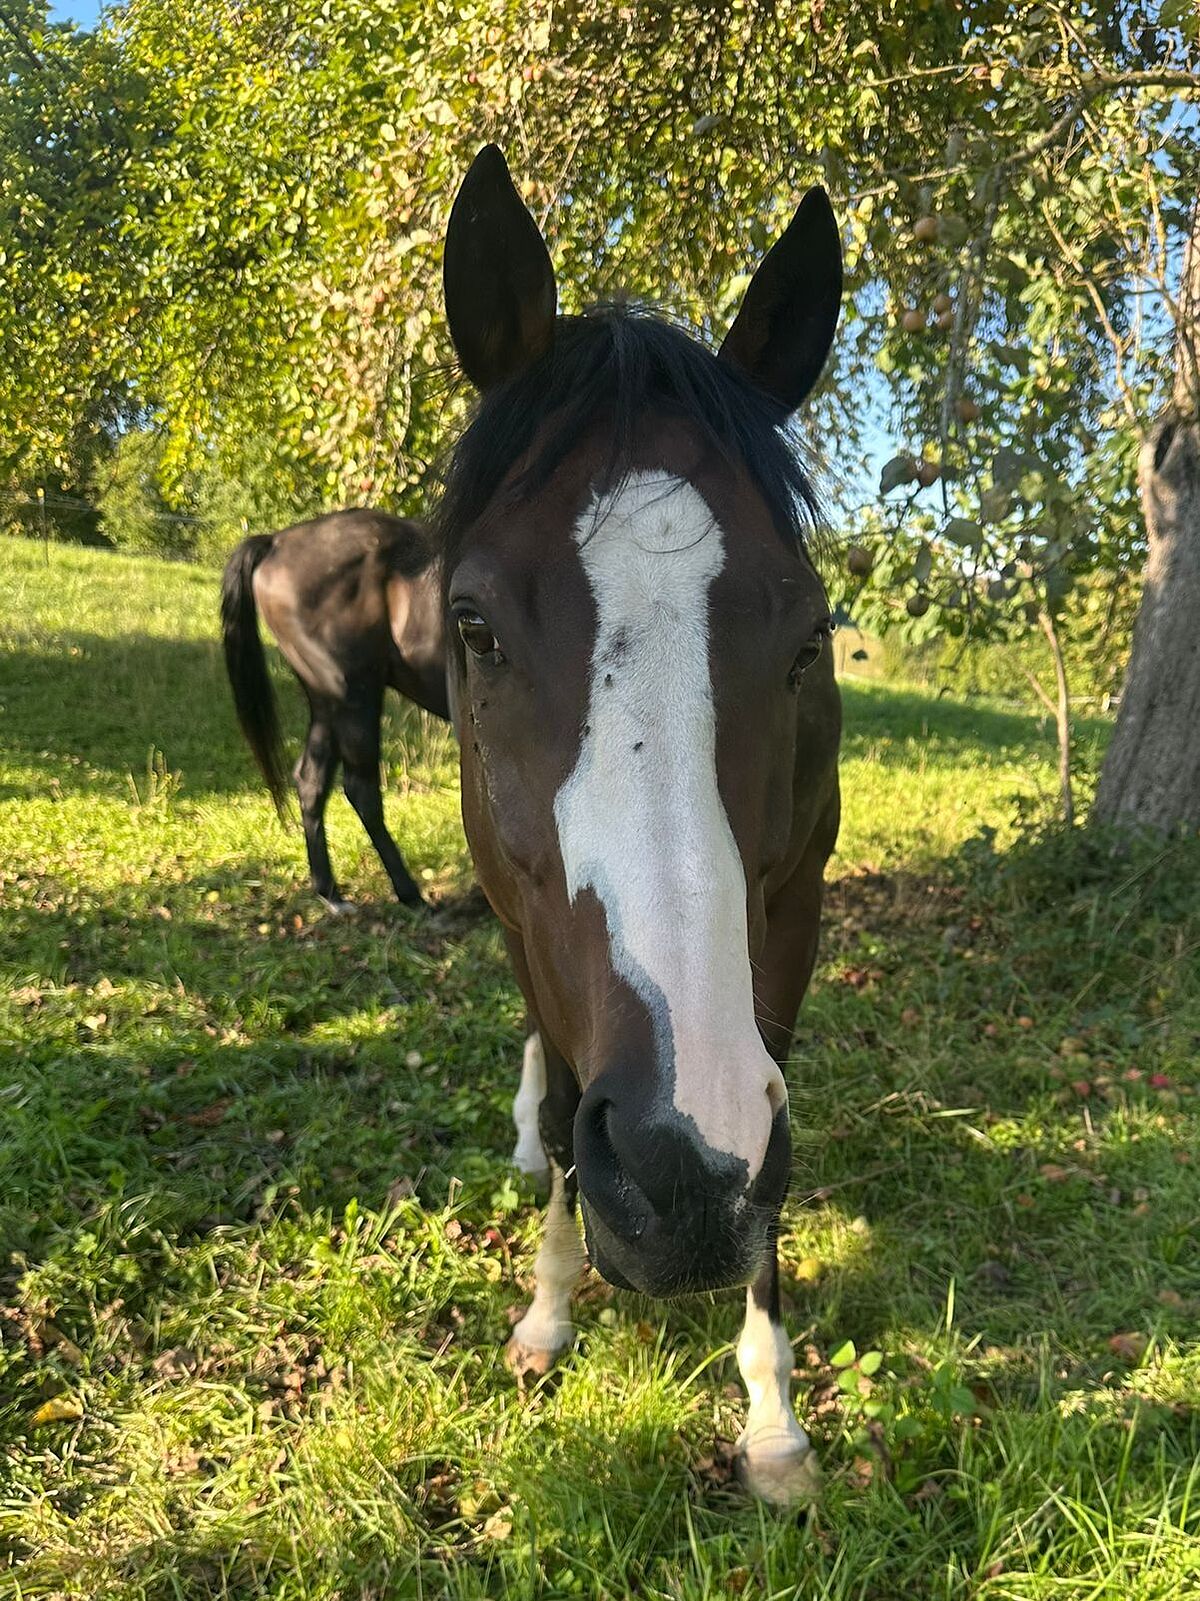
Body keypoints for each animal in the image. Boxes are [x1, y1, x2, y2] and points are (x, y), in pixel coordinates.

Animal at [220, 508, 448, 911]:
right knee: (361, 790)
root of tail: (276, 541)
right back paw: (409, 895)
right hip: (355, 696)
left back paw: (329, 892)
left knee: (311, 780)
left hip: (327, 702)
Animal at [438, 146, 843, 1504]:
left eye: (811, 634)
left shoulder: (793, 909)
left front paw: (772, 1412)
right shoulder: (521, 919)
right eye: (473, 624)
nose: (681, 1171)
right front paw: (549, 1307)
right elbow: (570, 1100)